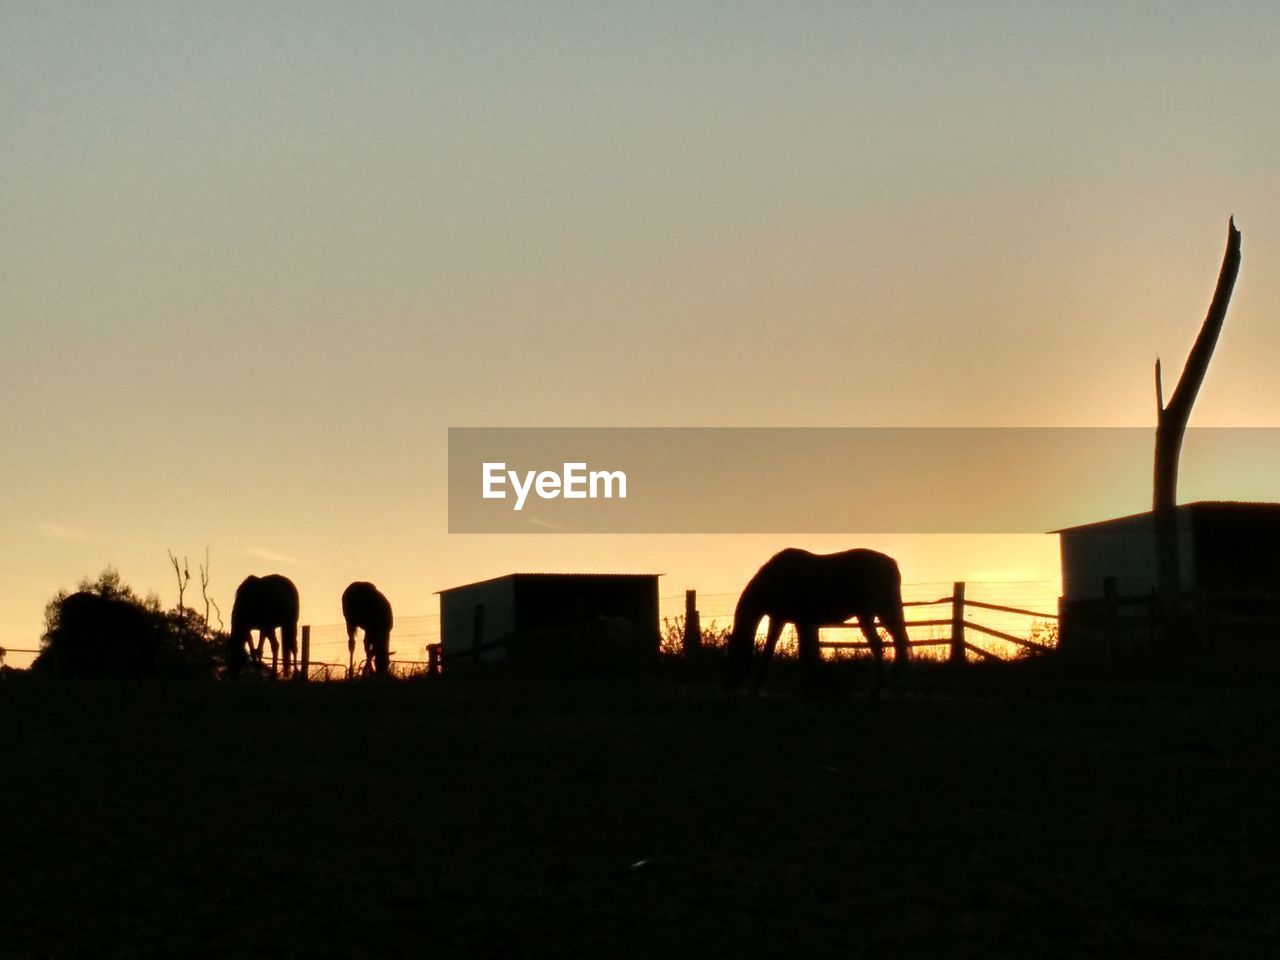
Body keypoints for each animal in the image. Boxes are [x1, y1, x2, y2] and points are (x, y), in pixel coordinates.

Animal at [727, 552, 916, 696]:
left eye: (733, 654)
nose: (729, 686)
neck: (775, 581)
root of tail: (890, 564)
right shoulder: (802, 622)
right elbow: (804, 653)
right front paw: (810, 684)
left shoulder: (779, 619)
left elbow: (771, 651)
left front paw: (757, 686)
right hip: (884, 612)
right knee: (899, 640)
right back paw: (895, 679)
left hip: (868, 614)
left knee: (880, 644)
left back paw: (879, 686)